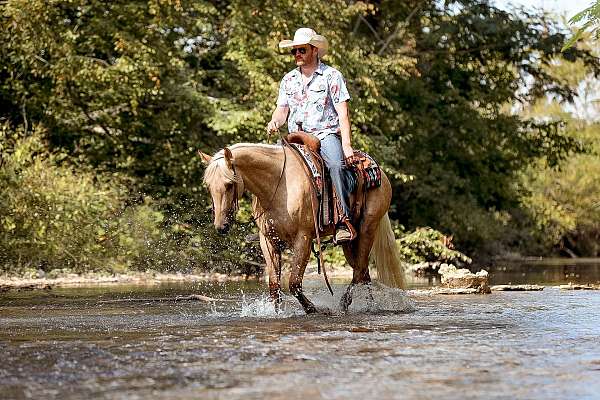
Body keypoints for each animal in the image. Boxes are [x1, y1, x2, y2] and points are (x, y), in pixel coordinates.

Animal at [199, 142, 406, 314]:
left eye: (229, 184)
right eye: (208, 185)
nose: (221, 226)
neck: (278, 184)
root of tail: (380, 173)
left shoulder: (303, 239)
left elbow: (294, 283)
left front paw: (312, 309)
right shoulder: (268, 241)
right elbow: (274, 285)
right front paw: (276, 313)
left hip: (367, 229)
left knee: (359, 271)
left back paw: (344, 304)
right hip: (350, 241)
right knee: (363, 272)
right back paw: (368, 305)